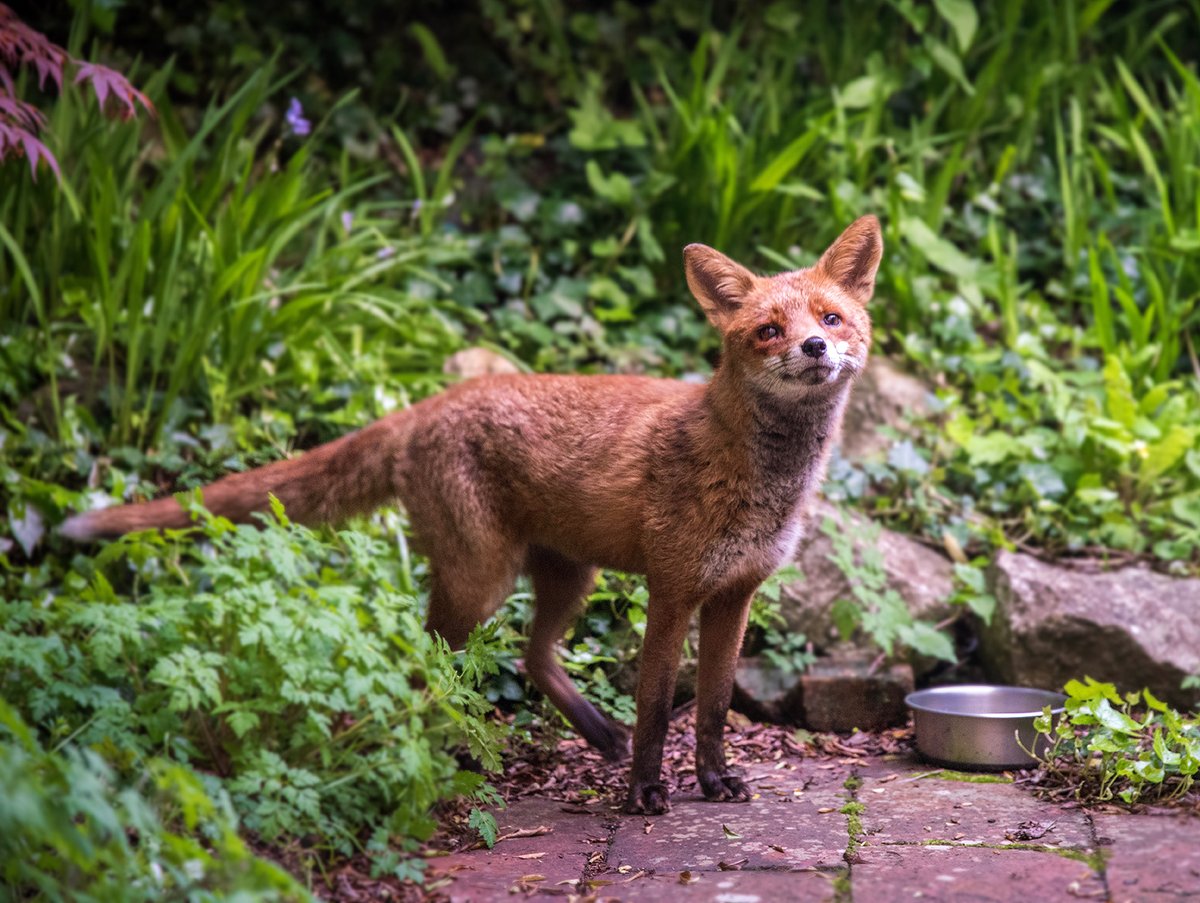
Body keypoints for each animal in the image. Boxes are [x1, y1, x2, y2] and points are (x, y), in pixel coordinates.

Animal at [61, 215, 882, 814]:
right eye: (768, 330)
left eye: (832, 318)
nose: (815, 346)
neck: (758, 479)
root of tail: (426, 404)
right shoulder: (674, 589)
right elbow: (656, 707)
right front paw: (647, 794)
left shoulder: (735, 594)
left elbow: (711, 707)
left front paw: (714, 782)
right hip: (480, 582)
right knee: (422, 667)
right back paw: (428, 755)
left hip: (568, 577)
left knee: (530, 656)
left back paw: (591, 734)